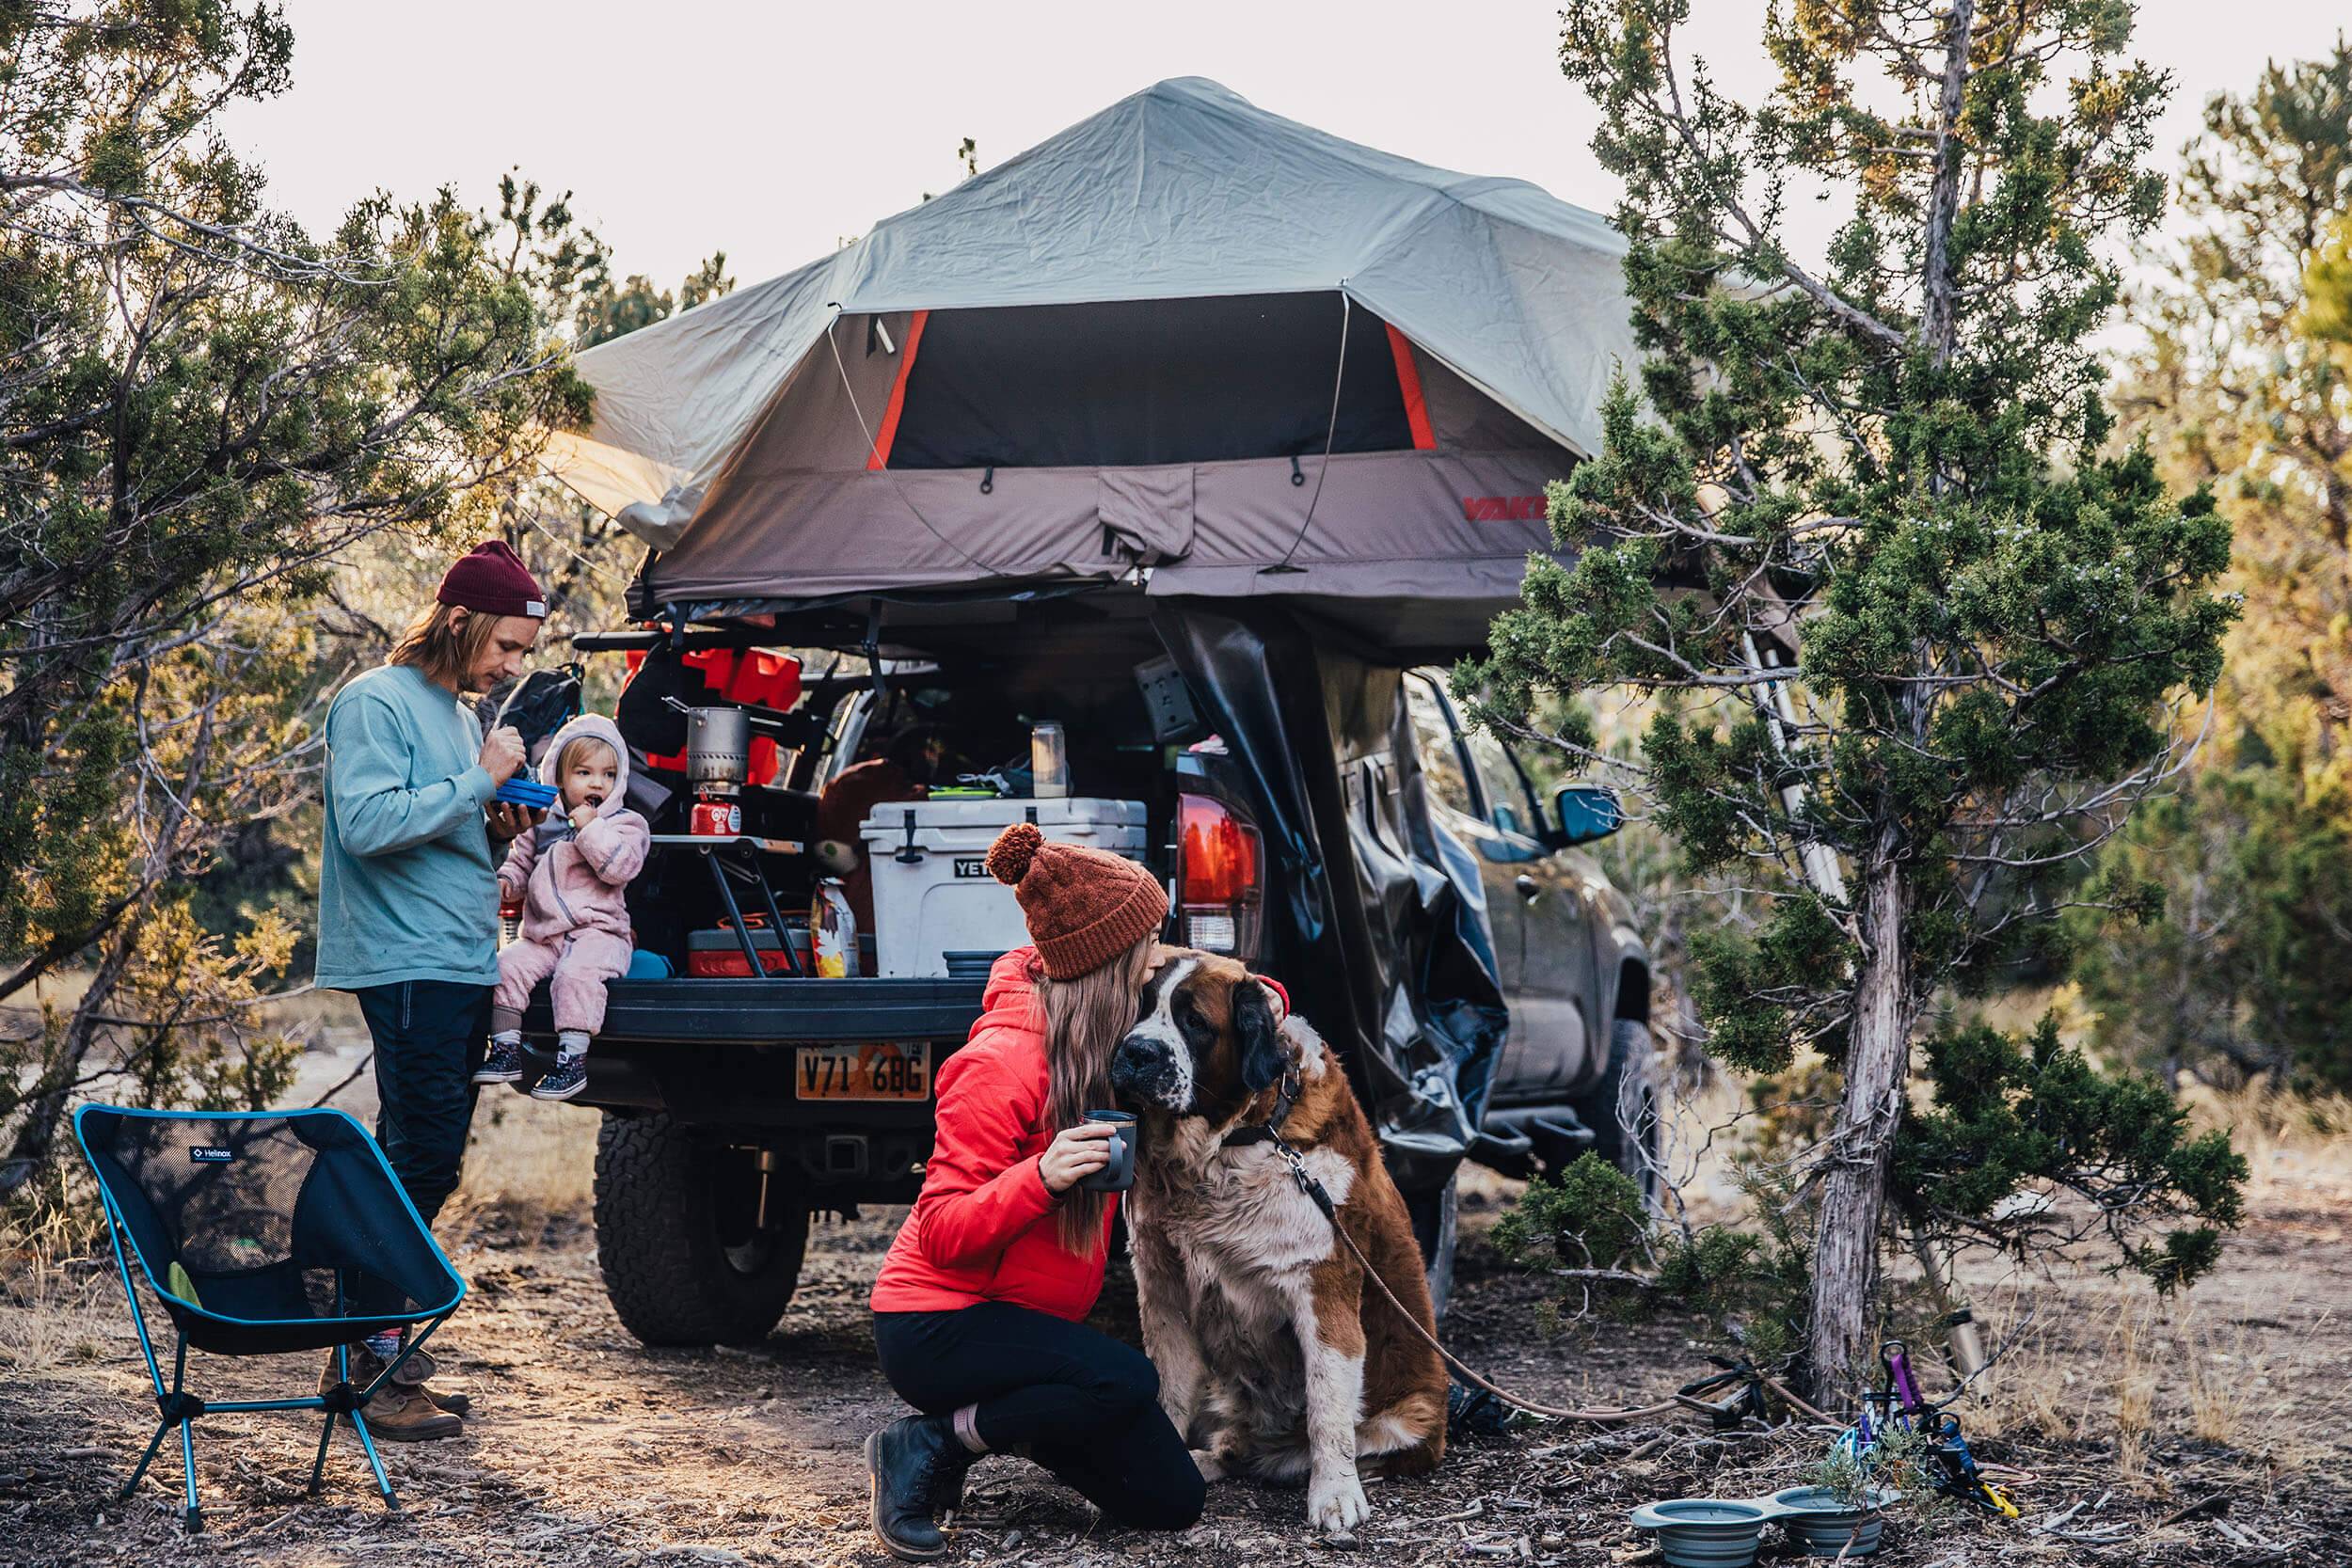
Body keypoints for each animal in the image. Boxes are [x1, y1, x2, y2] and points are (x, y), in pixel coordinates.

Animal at [1110, 944, 1439, 1532]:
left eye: (1195, 1023)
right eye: (1140, 1007)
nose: (1137, 1051)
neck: (1232, 1143)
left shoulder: (1322, 1290)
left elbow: (1329, 1409)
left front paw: (1335, 1495)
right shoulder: (1165, 1292)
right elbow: (1166, 1391)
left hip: (1413, 1415)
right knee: (1237, 1449)